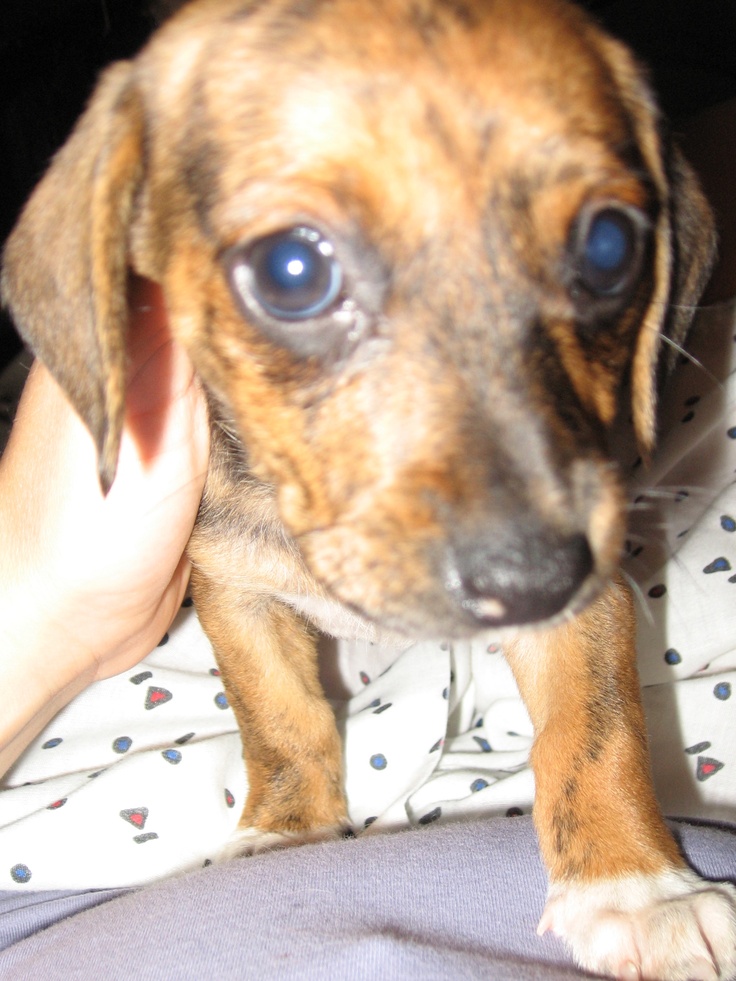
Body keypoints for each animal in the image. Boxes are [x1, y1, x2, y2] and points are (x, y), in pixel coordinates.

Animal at [4, 0, 736, 976]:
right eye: (292, 270)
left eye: (611, 246)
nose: (534, 579)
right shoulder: (232, 587)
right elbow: (279, 718)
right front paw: (288, 831)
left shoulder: (594, 597)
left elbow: (597, 731)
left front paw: (641, 887)